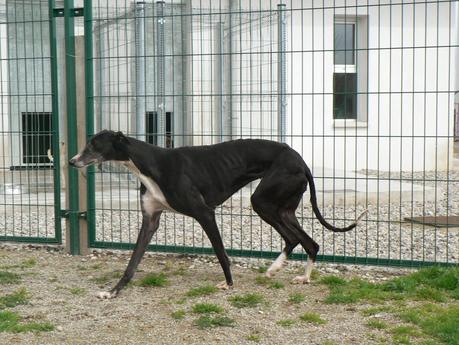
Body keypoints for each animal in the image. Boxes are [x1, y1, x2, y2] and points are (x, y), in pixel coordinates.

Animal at [70, 130, 364, 296]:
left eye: (94, 145)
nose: (72, 162)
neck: (150, 163)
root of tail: (301, 161)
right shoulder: (150, 220)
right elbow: (132, 263)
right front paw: (113, 292)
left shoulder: (205, 213)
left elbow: (221, 253)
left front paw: (229, 285)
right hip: (281, 208)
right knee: (307, 242)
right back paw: (295, 275)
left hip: (263, 202)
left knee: (296, 239)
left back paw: (283, 270)